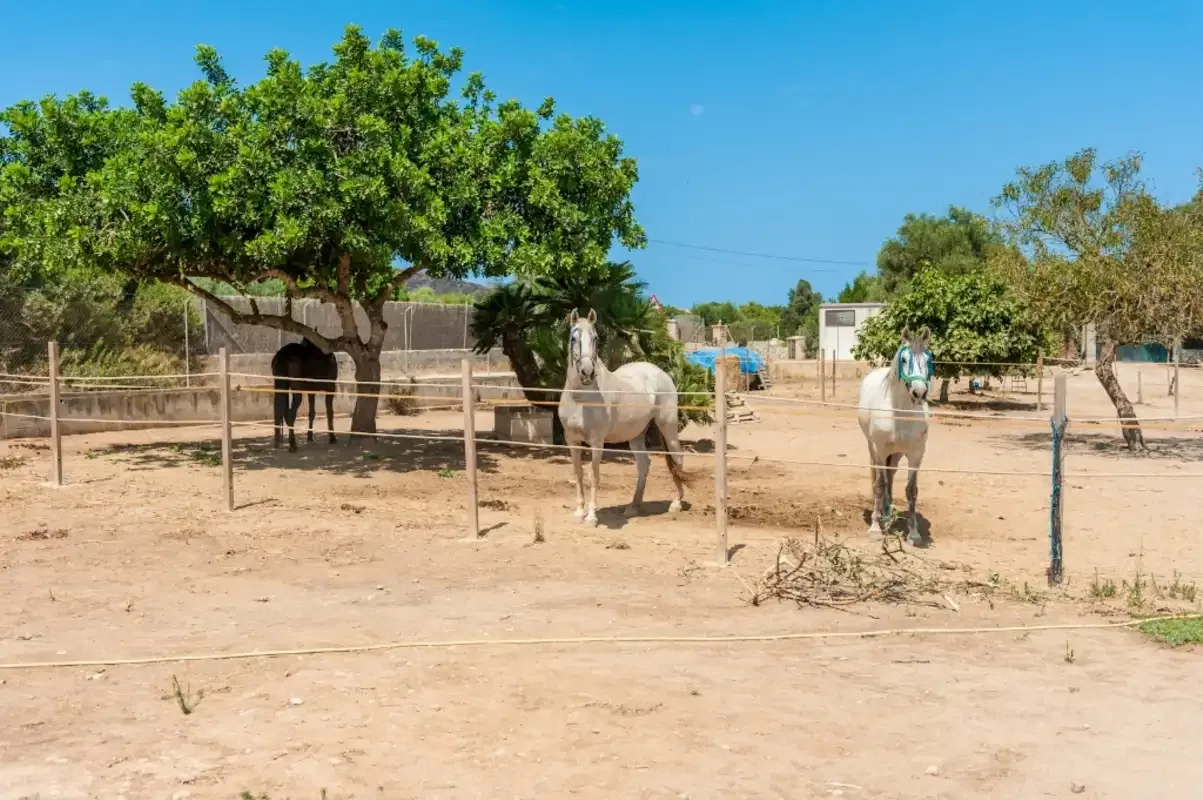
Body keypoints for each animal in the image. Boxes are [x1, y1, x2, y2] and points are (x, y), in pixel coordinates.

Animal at [557, 308, 689, 526]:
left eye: (595, 338)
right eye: (573, 338)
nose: (587, 372)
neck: (581, 398)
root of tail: (660, 373)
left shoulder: (597, 442)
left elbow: (594, 475)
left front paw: (591, 517)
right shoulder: (572, 440)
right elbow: (578, 473)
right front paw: (579, 512)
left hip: (667, 426)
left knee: (677, 458)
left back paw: (676, 503)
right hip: (636, 435)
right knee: (644, 465)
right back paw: (633, 507)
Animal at [856, 327, 933, 545]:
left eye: (928, 358)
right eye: (905, 359)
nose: (919, 393)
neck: (900, 413)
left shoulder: (916, 455)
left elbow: (911, 490)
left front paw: (914, 533)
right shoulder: (881, 451)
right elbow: (880, 485)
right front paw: (875, 528)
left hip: (897, 454)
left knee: (890, 475)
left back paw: (888, 512)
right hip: (873, 449)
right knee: (879, 478)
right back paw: (881, 515)